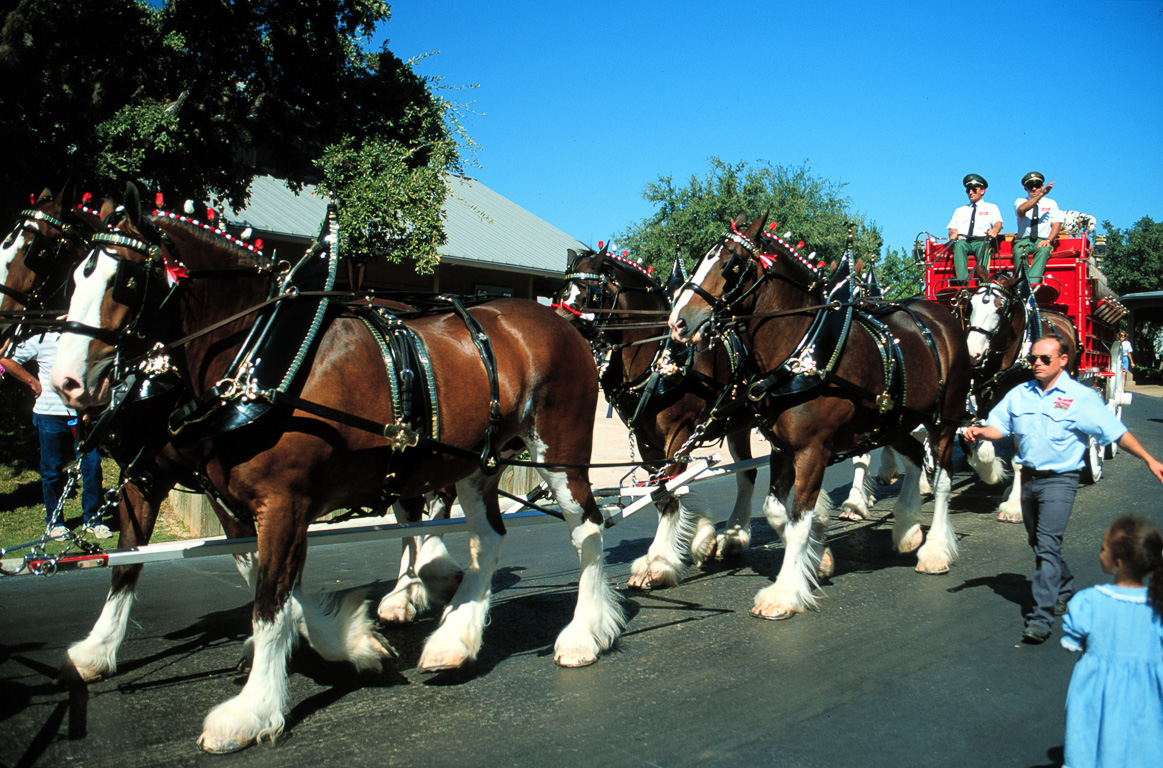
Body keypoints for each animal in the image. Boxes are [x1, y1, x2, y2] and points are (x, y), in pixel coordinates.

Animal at [50, 187, 623, 754]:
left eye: (126, 281)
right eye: (72, 276)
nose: (65, 383)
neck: (262, 354)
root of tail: (561, 322)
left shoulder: (282, 502)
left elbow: (270, 599)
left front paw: (252, 710)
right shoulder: (230, 500)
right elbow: (252, 581)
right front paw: (352, 643)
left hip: (559, 452)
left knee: (588, 529)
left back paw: (583, 634)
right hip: (475, 461)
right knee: (488, 537)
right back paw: (453, 640)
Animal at [555, 245, 762, 588]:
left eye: (589, 294)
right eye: (560, 292)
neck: (659, 357)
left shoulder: (679, 434)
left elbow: (669, 491)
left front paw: (658, 563)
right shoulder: (647, 441)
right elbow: (661, 490)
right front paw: (702, 539)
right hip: (739, 426)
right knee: (748, 473)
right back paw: (734, 536)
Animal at [669, 216, 967, 619]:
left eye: (730, 265)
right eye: (702, 258)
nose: (677, 321)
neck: (801, 352)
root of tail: (939, 313)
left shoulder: (813, 450)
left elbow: (798, 519)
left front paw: (784, 592)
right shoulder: (782, 448)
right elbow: (776, 512)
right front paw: (818, 558)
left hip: (944, 419)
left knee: (943, 480)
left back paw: (935, 549)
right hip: (892, 422)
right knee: (916, 458)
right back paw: (907, 530)